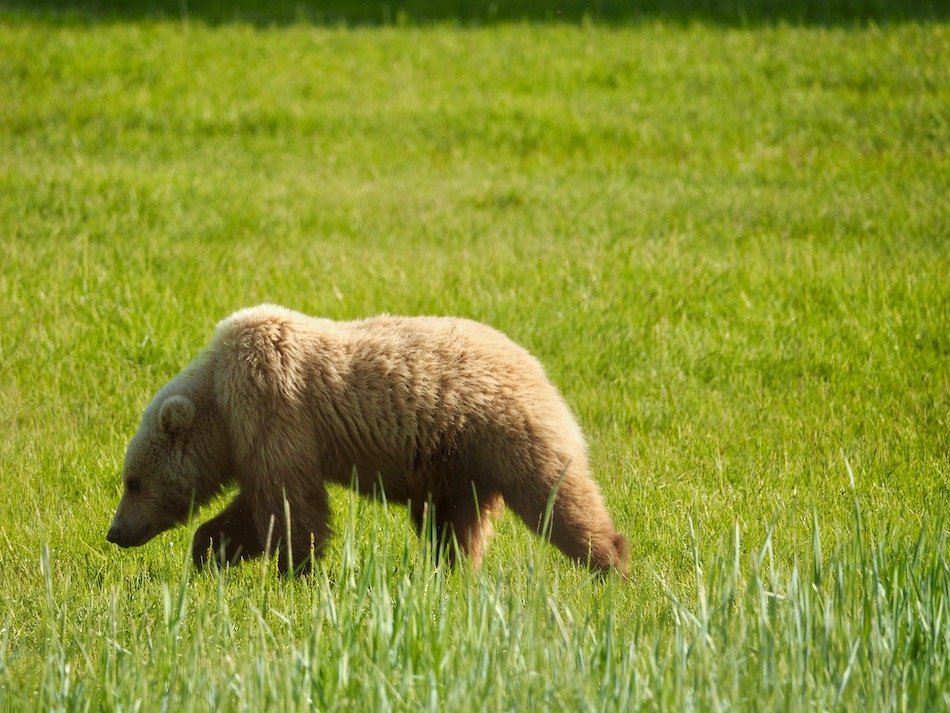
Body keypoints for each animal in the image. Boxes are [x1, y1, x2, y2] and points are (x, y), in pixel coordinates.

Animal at [106, 305, 630, 576]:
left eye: (133, 481)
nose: (115, 532)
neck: (218, 397)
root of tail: (536, 364)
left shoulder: (273, 404)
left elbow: (289, 502)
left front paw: (296, 571)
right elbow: (257, 507)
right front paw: (210, 552)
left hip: (502, 429)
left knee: (555, 496)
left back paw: (610, 563)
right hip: (457, 461)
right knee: (454, 523)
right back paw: (449, 572)